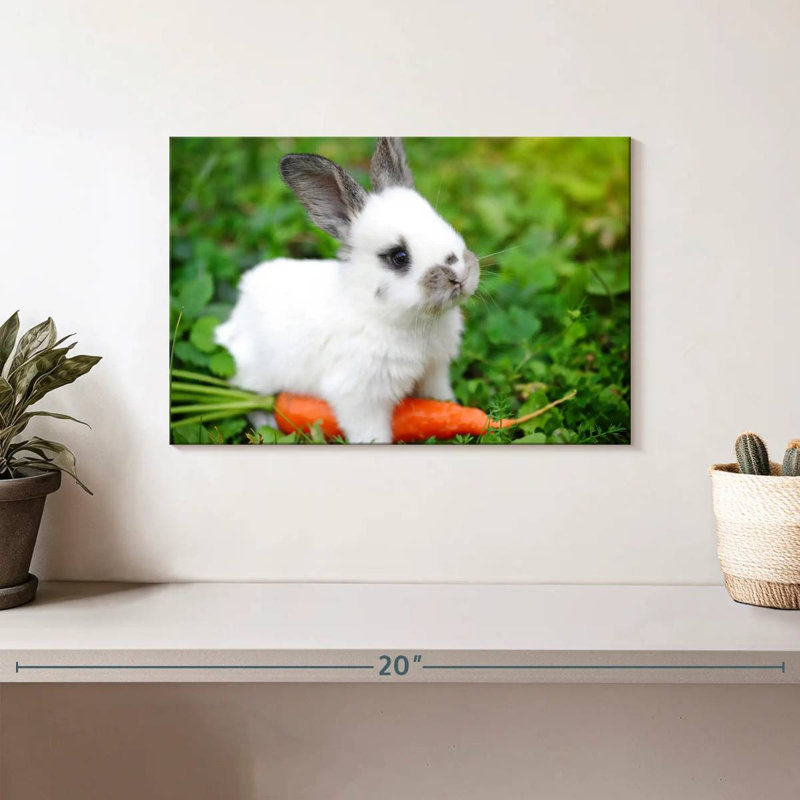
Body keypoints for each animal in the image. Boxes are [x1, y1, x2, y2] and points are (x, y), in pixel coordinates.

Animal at [215, 137, 480, 443]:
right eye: (399, 256)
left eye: (445, 225)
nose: (460, 276)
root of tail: (234, 320)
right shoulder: (361, 396)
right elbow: (371, 433)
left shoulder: (435, 370)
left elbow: (440, 400)